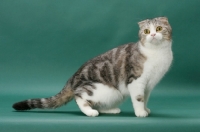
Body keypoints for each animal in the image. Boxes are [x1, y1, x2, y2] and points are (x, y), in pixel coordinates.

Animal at [12, 16, 173, 117]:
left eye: (159, 28)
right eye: (146, 31)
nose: (152, 35)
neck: (158, 53)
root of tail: (72, 78)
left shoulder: (149, 85)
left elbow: (145, 98)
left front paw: (145, 109)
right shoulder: (136, 81)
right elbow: (139, 98)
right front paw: (140, 112)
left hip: (115, 94)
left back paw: (111, 110)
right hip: (104, 90)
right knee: (80, 97)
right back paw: (90, 112)